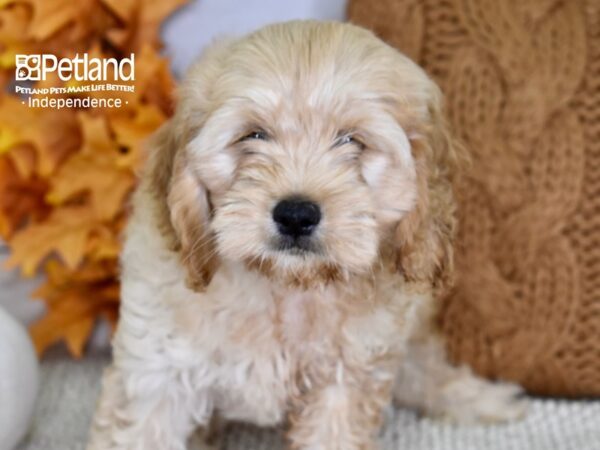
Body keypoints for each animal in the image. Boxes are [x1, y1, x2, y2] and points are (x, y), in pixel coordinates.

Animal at [86, 19, 528, 448]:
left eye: (352, 141)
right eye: (254, 135)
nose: (296, 215)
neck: (284, 286)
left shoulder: (346, 378)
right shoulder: (157, 370)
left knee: (425, 369)